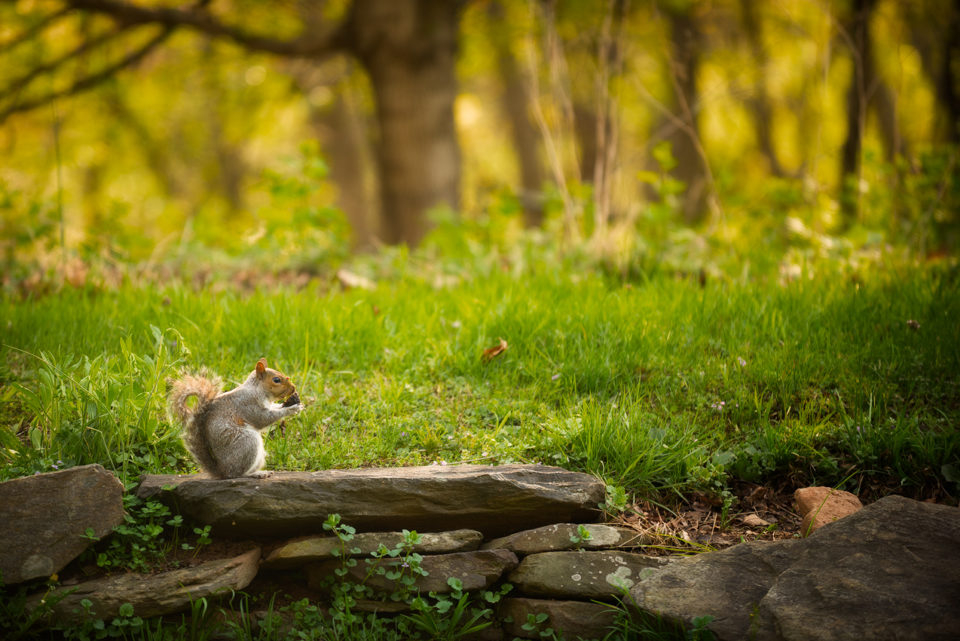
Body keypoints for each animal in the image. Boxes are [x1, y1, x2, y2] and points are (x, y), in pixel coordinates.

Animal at [167, 358, 304, 478]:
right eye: (276, 380)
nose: (293, 388)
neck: (256, 390)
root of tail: (222, 471)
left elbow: (275, 407)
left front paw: (294, 404)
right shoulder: (247, 405)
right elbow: (263, 419)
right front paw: (291, 409)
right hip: (247, 443)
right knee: (237, 474)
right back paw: (256, 474)